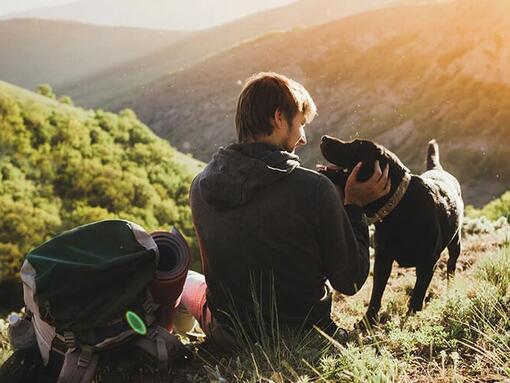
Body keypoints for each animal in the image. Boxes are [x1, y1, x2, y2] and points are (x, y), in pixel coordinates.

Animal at [320, 136, 464, 326]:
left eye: (355, 145)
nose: (324, 138)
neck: (398, 205)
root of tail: (438, 170)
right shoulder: (383, 259)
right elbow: (377, 292)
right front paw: (368, 320)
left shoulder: (428, 262)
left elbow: (419, 292)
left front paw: (411, 317)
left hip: (455, 243)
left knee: (451, 266)